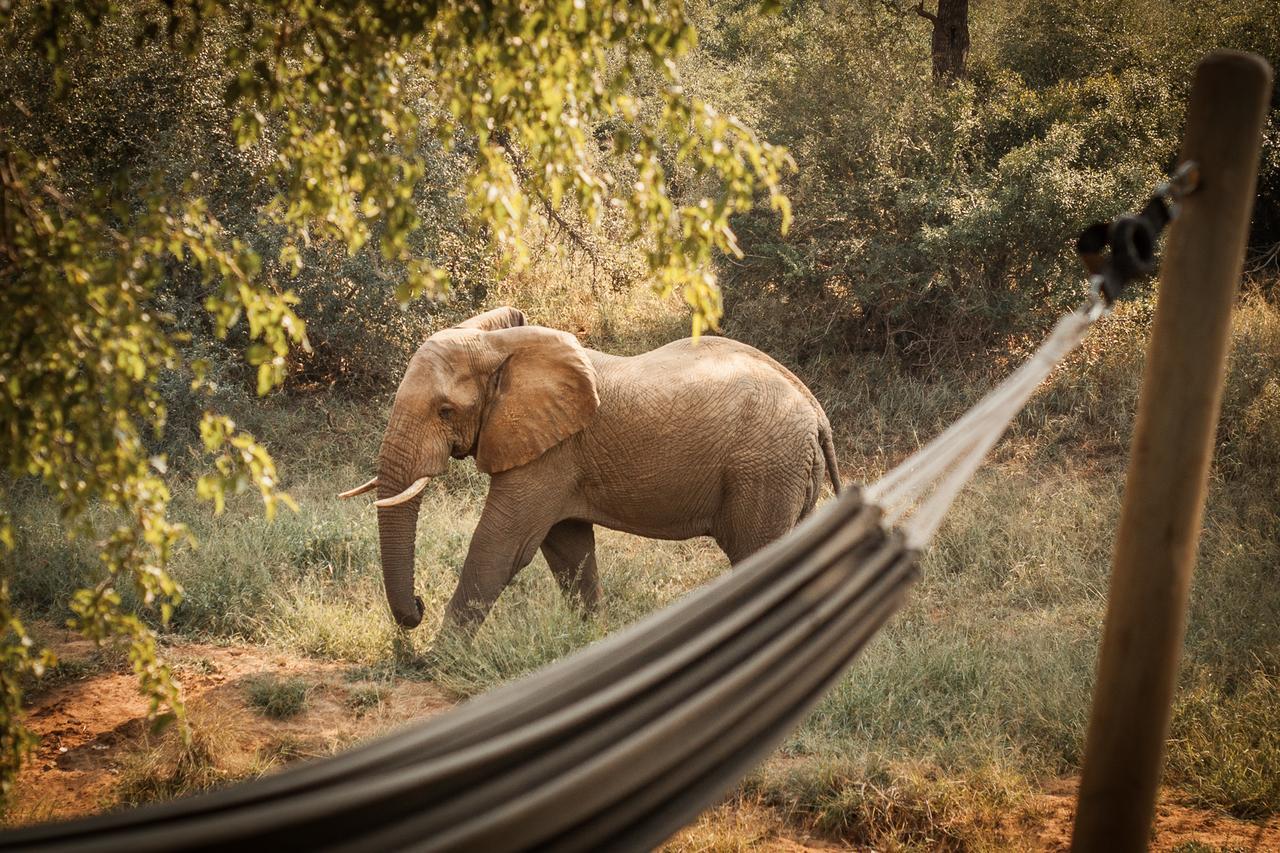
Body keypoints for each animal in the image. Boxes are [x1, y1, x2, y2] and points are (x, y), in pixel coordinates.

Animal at [343, 306, 839, 630]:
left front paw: (439, 658)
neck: (501, 346)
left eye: (445, 411)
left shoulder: (550, 453)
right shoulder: (558, 458)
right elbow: (567, 546)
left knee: (758, 557)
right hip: (786, 471)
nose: (418, 608)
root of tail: (816, 411)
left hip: (765, 470)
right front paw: (590, 640)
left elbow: (502, 545)